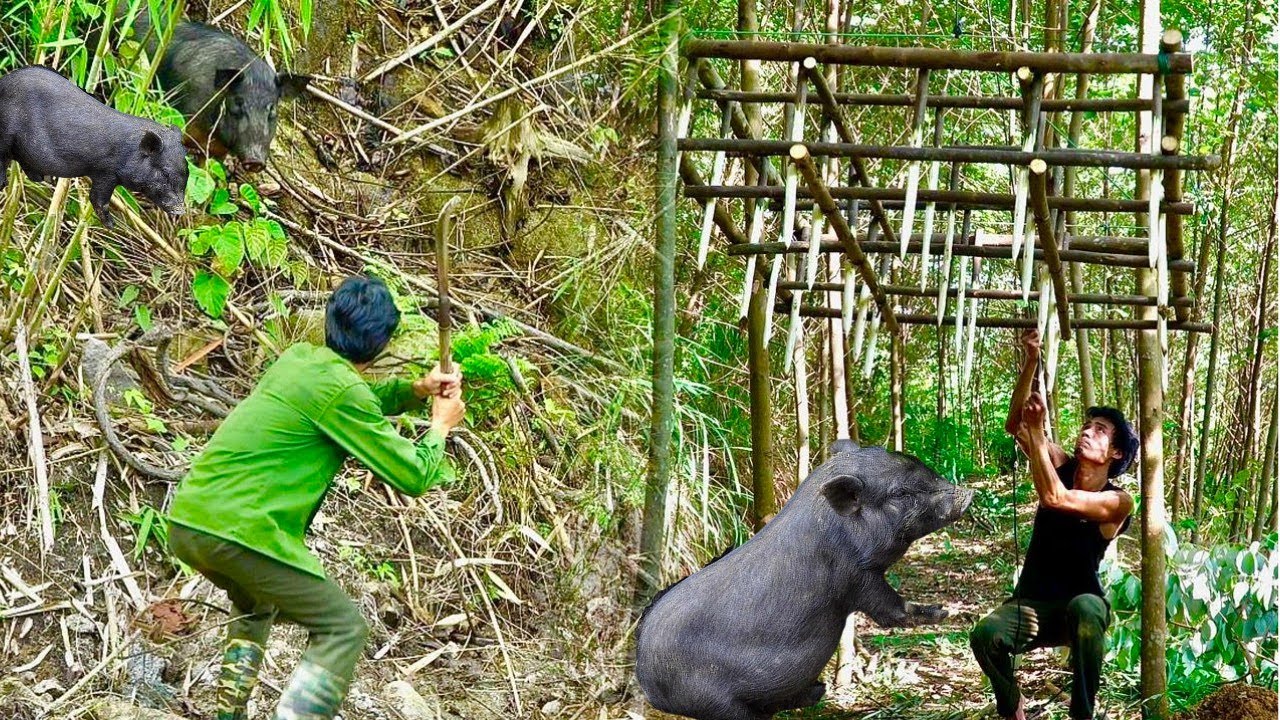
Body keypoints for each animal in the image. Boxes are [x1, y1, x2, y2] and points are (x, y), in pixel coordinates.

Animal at [0, 66, 189, 228]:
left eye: (186, 172)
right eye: (164, 173)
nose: (181, 210)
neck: (129, 152)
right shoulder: (105, 172)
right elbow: (98, 199)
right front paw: (112, 226)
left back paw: (46, 179)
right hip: (6, 135)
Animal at [635, 440, 974, 720]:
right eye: (900, 493)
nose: (968, 493)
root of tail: (643, 675)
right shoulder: (854, 576)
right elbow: (891, 611)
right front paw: (944, 612)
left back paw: (818, 690)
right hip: (712, 700)